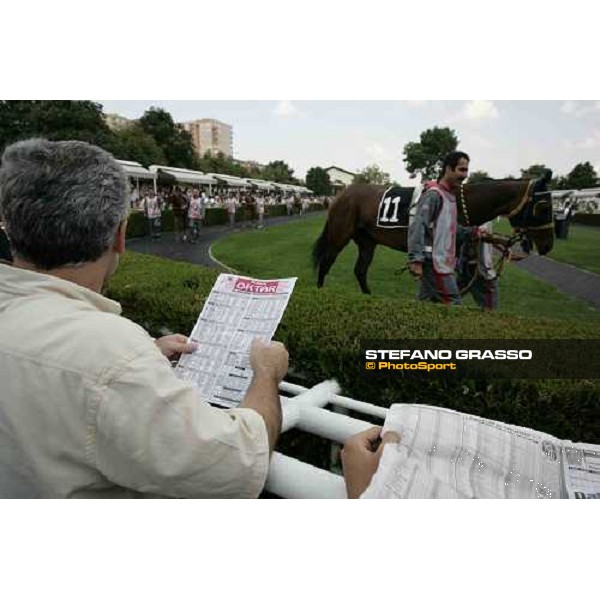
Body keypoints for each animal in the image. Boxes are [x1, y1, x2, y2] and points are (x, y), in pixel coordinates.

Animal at [314, 171, 552, 292]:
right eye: (543, 207)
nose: (548, 245)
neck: (462, 202)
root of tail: (342, 194)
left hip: (367, 241)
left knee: (360, 270)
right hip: (339, 236)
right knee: (325, 262)